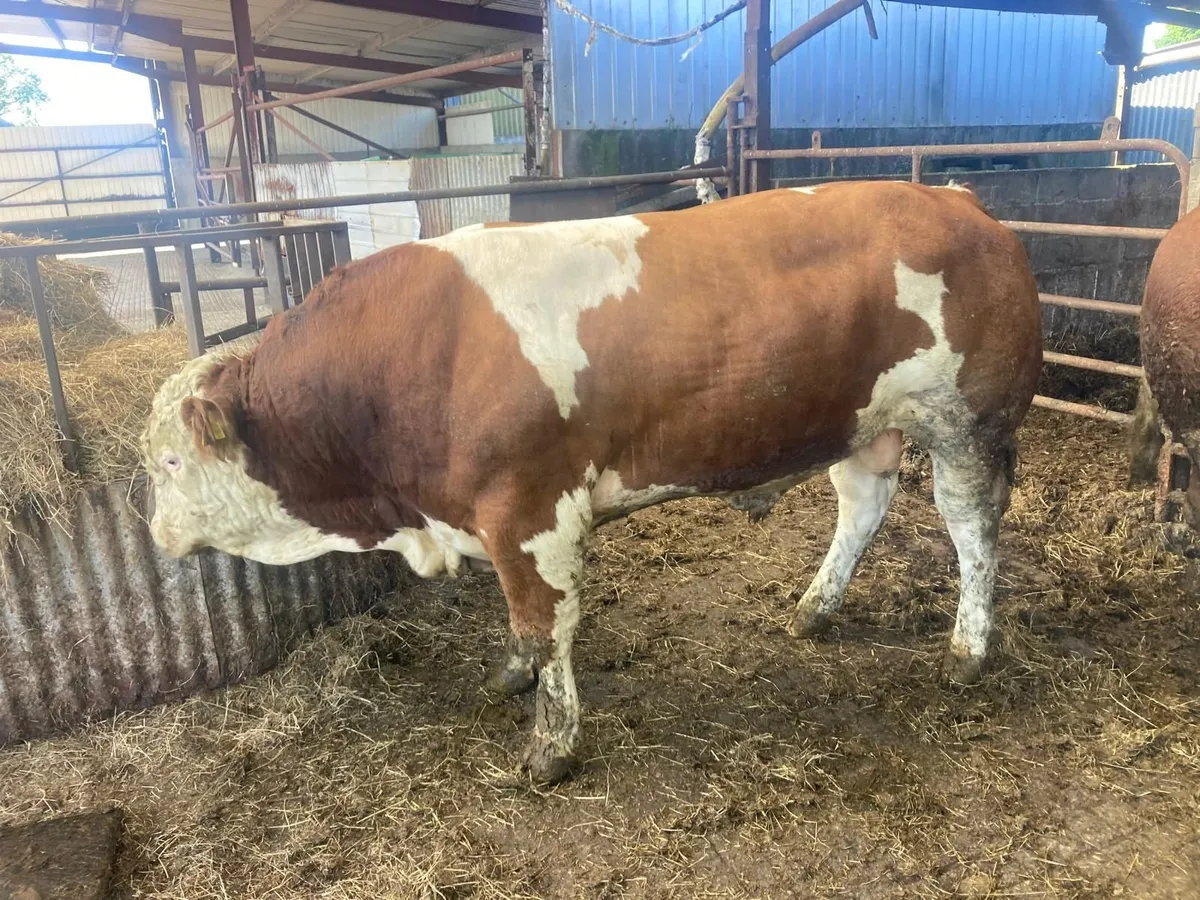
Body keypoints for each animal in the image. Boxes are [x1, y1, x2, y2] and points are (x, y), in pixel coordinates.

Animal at [141, 182, 1043, 783]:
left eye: (169, 463)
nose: (155, 534)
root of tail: (956, 198)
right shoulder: (490, 520)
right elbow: (518, 623)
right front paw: (507, 676)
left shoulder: (529, 511)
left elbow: (547, 626)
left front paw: (550, 747)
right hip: (860, 421)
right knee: (862, 504)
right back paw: (815, 608)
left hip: (968, 423)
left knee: (971, 527)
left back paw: (969, 649)